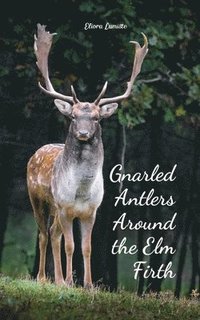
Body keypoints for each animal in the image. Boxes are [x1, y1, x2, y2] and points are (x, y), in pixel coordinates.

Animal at [26, 22, 148, 288]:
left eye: (96, 118)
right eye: (72, 116)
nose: (82, 133)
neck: (81, 191)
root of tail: (36, 153)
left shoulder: (91, 211)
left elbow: (87, 247)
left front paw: (88, 285)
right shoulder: (65, 207)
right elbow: (70, 246)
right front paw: (70, 282)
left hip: (55, 209)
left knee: (53, 234)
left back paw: (57, 279)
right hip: (38, 199)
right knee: (43, 234)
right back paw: (43, 278)